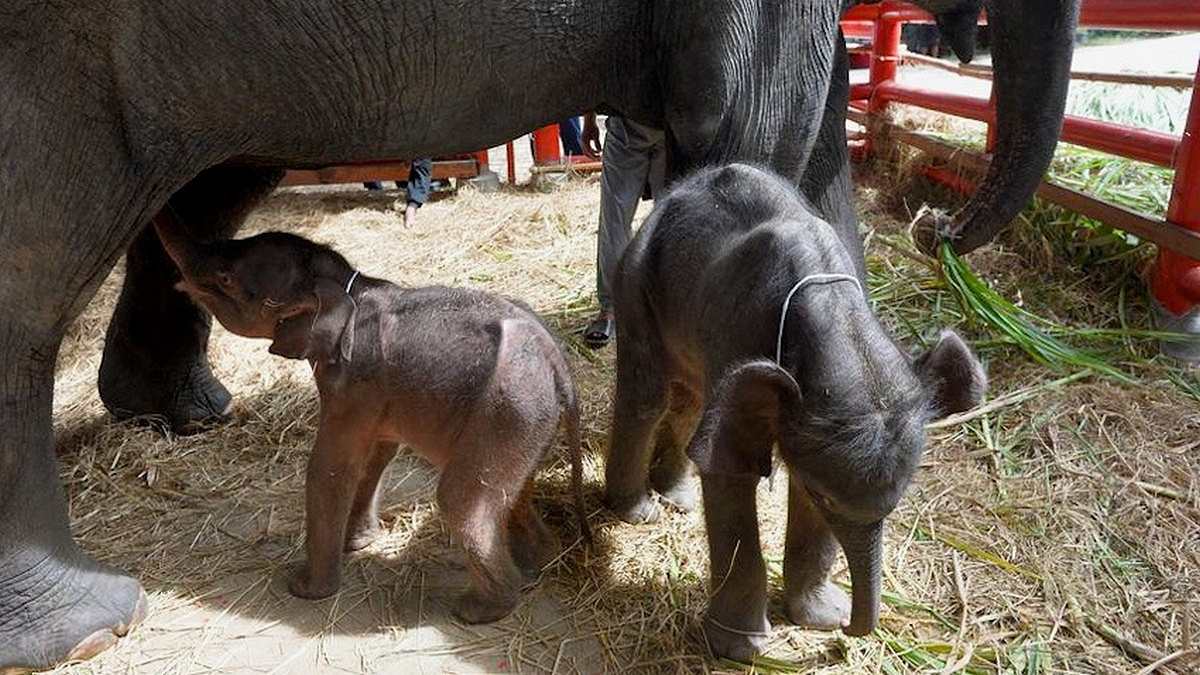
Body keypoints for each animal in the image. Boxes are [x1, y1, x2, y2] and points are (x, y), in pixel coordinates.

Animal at [153, 218, 585, 624]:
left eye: (226, 278)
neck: (347, 283)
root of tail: (558, 364)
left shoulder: (352, 384)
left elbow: (330, 467)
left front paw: (304, 588)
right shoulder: (376, 394)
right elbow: (377, 455)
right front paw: (357, 544)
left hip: (504, 411)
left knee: (461, 500)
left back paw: (478, 610)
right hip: (525, 422)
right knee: (514, 492)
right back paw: (535, 567)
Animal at [604, 163, 988, 658]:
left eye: (899, 500)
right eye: (826, 497)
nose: (845, 635)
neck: (834, 315)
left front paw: (821, 618)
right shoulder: (737, 329)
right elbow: (730, 474)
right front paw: (742, 649)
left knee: (691, 398)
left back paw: (678, 499)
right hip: (637, 280)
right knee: (649, 395)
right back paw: (637, 511)